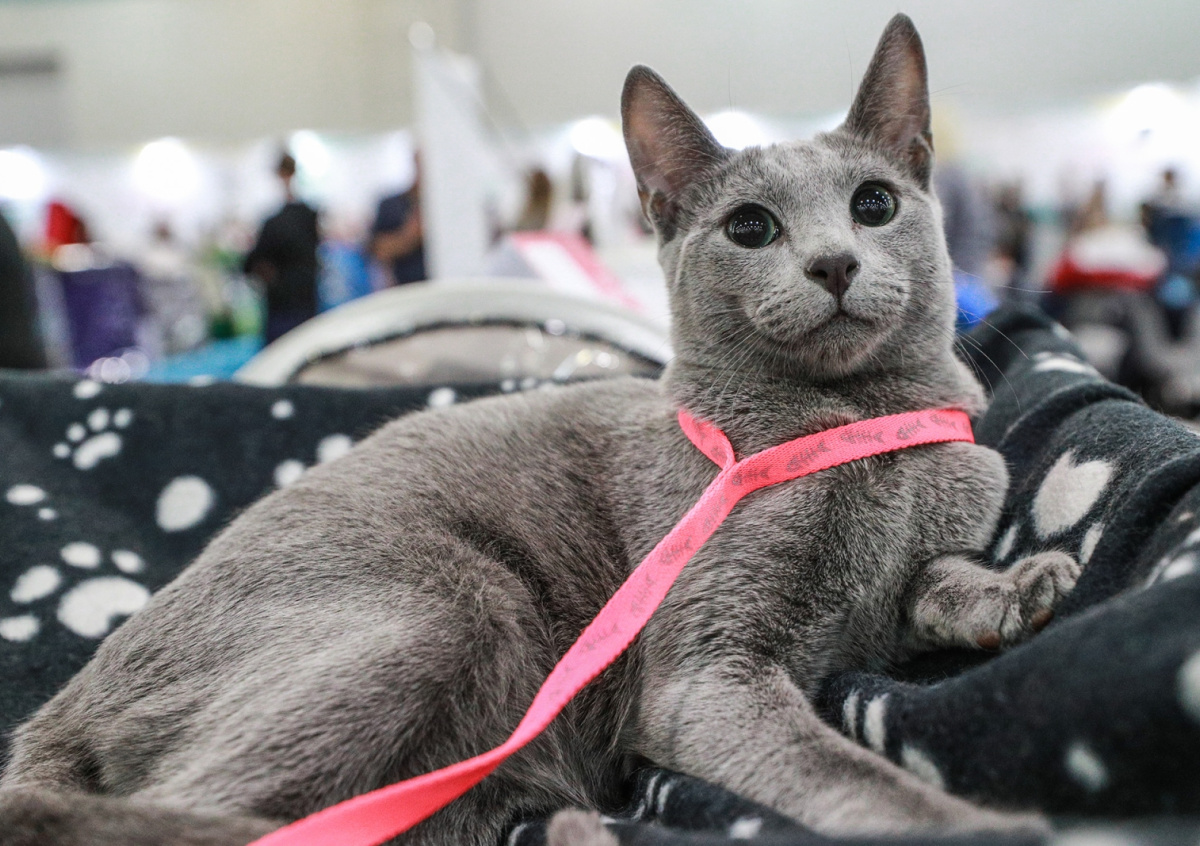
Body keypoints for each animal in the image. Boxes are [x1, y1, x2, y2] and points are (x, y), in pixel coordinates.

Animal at [0, 14, 1078, 846]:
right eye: (751, 228)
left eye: (874, 205)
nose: (833, 263)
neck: (860, 425)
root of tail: (59, 710)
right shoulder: (706, 670)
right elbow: (845, 774)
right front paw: (983, 826)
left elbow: (929, 579)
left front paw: (1015, 586)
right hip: (434, 611)